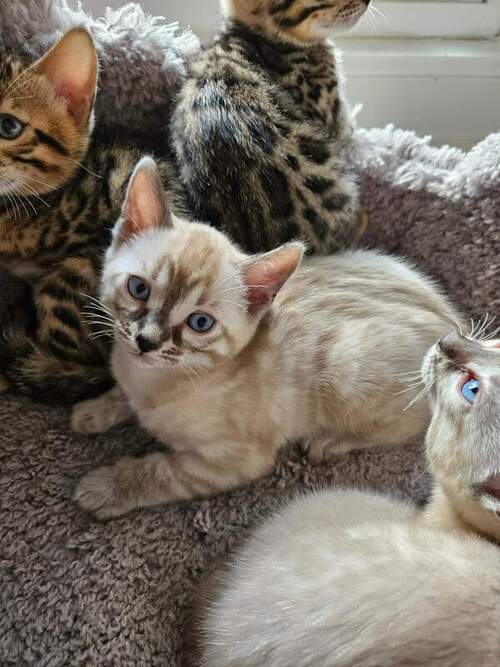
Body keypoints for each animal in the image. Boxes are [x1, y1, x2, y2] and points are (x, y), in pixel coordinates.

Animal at [72, 157, 460, 520]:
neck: (150, 381)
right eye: (139, 288)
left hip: (349, 374)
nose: (147, 341)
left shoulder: (235, 461)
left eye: (200, 323)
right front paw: (92, 412)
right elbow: (119, 396)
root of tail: (455, 328)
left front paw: (104, 487)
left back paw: (328, 442)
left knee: (403, 427)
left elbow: (161, 471)